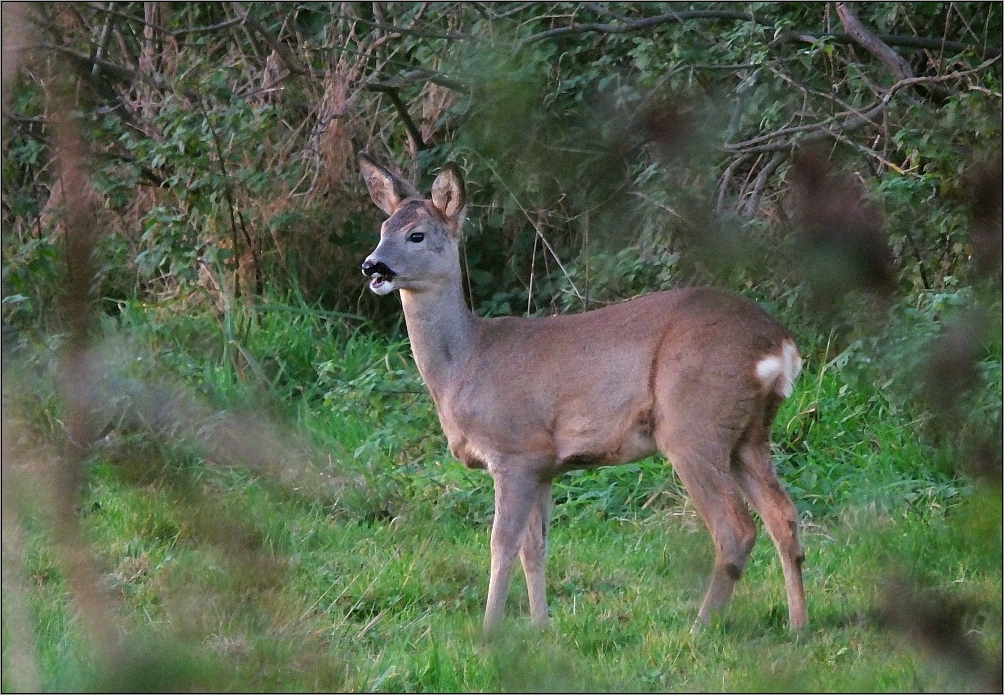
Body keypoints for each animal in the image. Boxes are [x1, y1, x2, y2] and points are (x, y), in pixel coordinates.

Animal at [361, 154, 807, 630]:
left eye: (417, 234)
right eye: (382, 228)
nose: (373, 266)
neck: (465, 363)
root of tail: (780, 344)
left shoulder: (515, 450)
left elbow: (502, 544)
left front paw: (490, 629)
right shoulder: (544, 464)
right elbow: (535, 548)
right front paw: (541, 627)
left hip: (694, 423)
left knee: (736, 528)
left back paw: (701, 626)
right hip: (749, 433)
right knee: (783, 516)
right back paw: (798, 626)